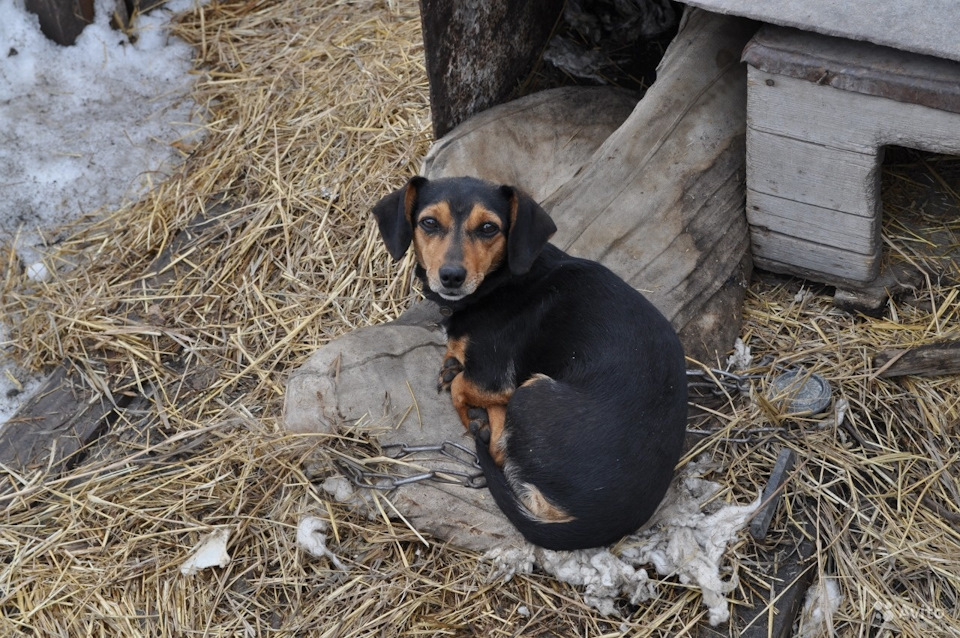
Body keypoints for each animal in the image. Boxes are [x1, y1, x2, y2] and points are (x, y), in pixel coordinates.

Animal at [372, 178, 688, 552]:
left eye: (489, 227)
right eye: (429, 223)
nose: (451, 276)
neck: (500, 280)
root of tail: (600, 521)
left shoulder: (495, 376)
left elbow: (465, 386)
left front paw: (468, 401)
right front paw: (452, 363)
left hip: (532, 393)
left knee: (498, 450)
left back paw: (481, 423)